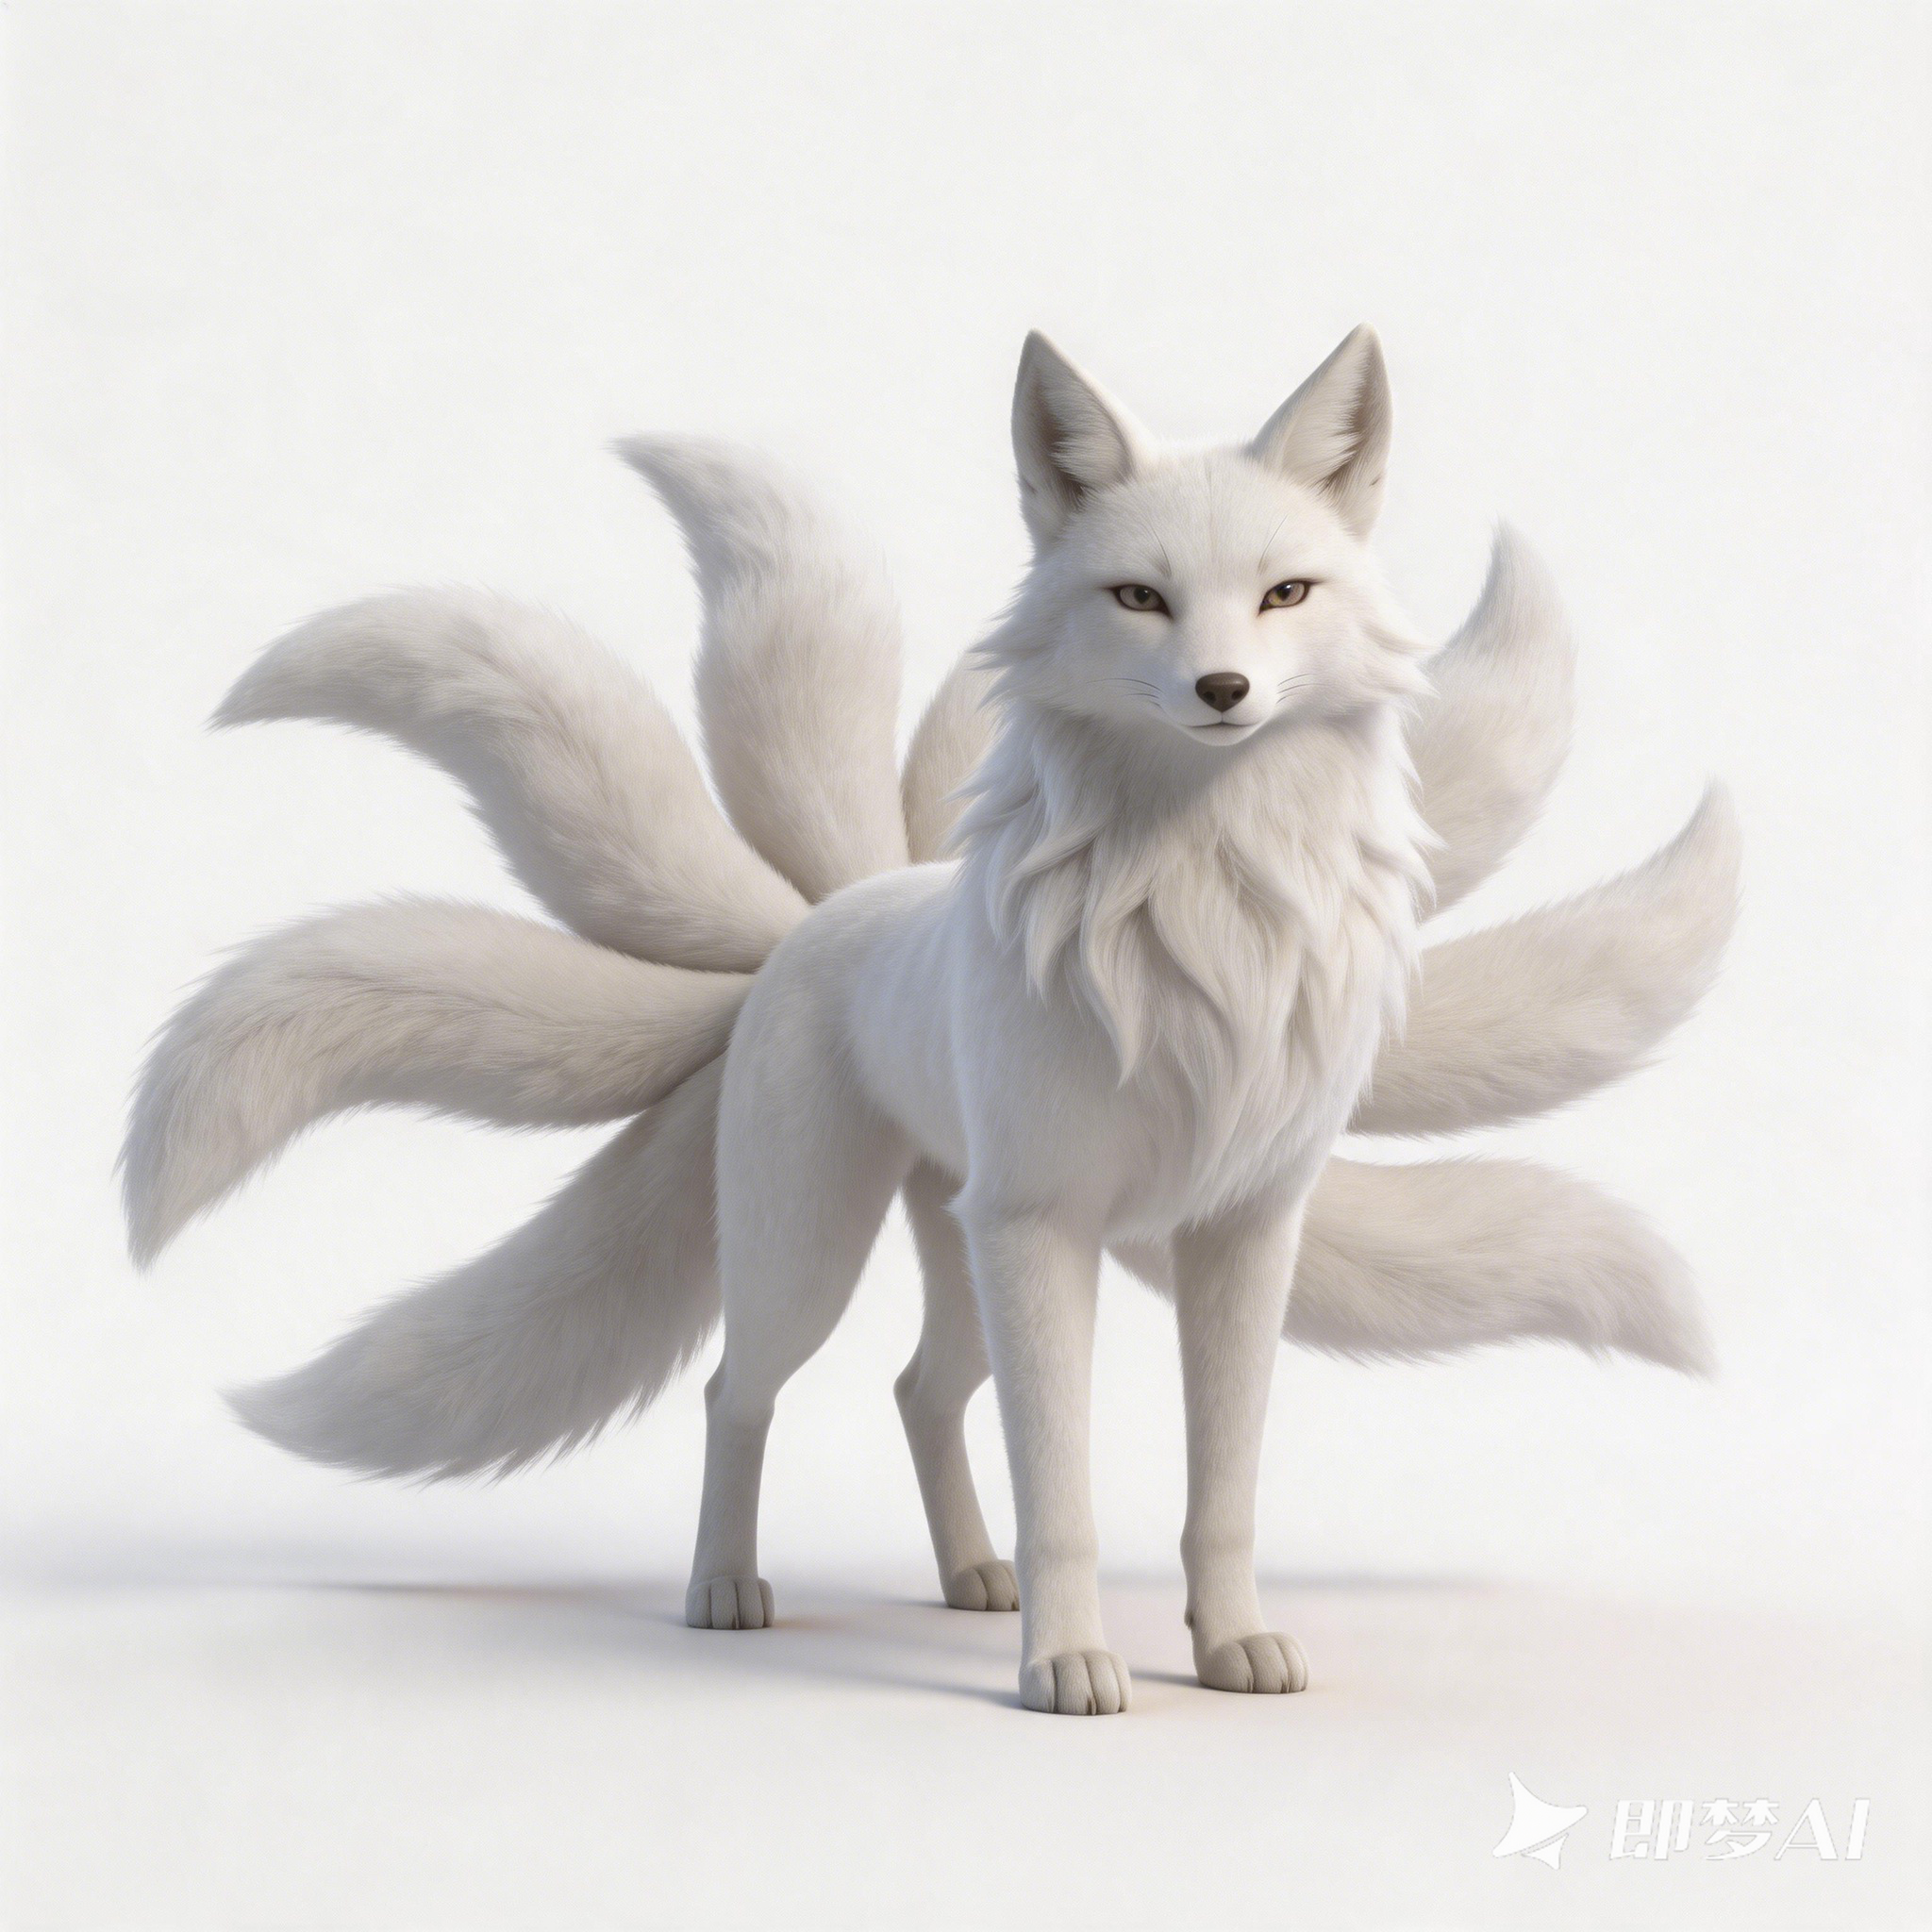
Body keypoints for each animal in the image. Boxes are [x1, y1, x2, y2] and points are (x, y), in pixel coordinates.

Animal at [123, 328, 1738, 1715]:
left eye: (1285, 595)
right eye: (1140, 598)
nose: (1222, 687)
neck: (1201, 911)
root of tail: (820, 914)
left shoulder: (1235, 1232)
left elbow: (1219, 1492)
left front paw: (1228, 1650)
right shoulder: (1045, 1230)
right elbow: (1067, 1488)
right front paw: (1071, 1670)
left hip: (958, 1252)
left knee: (915, 1389)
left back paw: (970, 1577)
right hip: (819, 1257)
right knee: (734, 1391)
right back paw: (727, 1590)